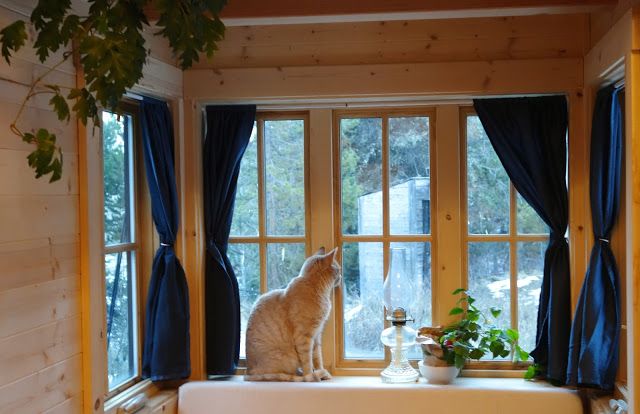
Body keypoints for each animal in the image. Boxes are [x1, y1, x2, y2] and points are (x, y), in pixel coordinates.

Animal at [245, 247, 342, 384]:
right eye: (338, 269)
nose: (342, 276)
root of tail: (248, 372)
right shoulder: (304, 337)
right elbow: (307, 361)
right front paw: (311, 376)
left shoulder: (317, 335)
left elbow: (318, 358)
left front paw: (321, 372)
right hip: (288, 358)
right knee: (286, 374)